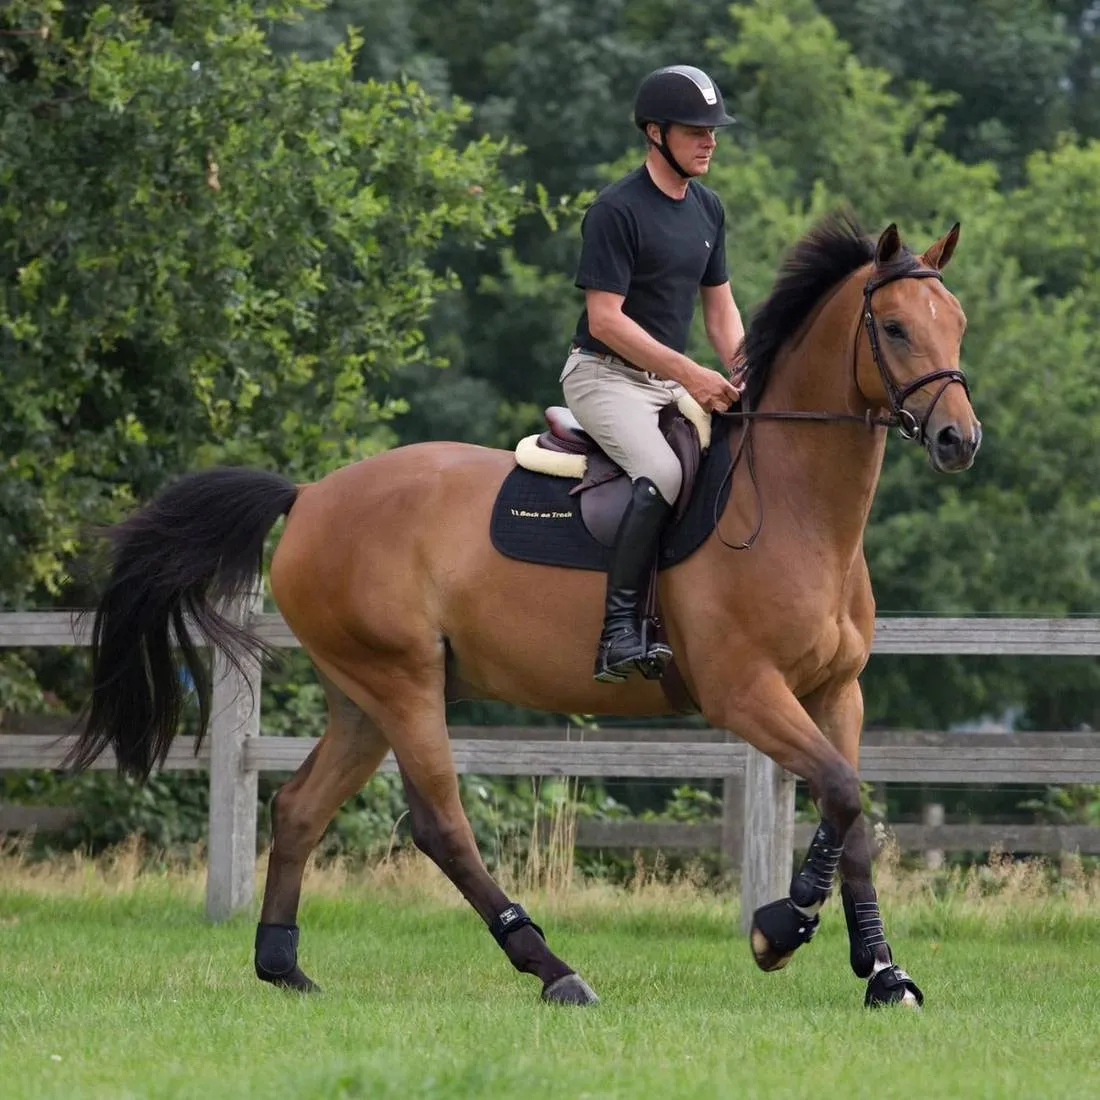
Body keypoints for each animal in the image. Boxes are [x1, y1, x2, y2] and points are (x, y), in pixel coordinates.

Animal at [68, 210, 981, 1007]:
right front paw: (778, 930)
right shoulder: (745, 692)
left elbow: (850, 810)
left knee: (298, 809)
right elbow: (841, 793)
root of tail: (311, 494)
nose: (958, 440)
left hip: (365, 696)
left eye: (958, 324)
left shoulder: (836, 692)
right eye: (895, 328)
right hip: (402, 682)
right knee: (440, 825)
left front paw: (882, 972)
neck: (790, 503)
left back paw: (282, 967)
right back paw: (553, 969)